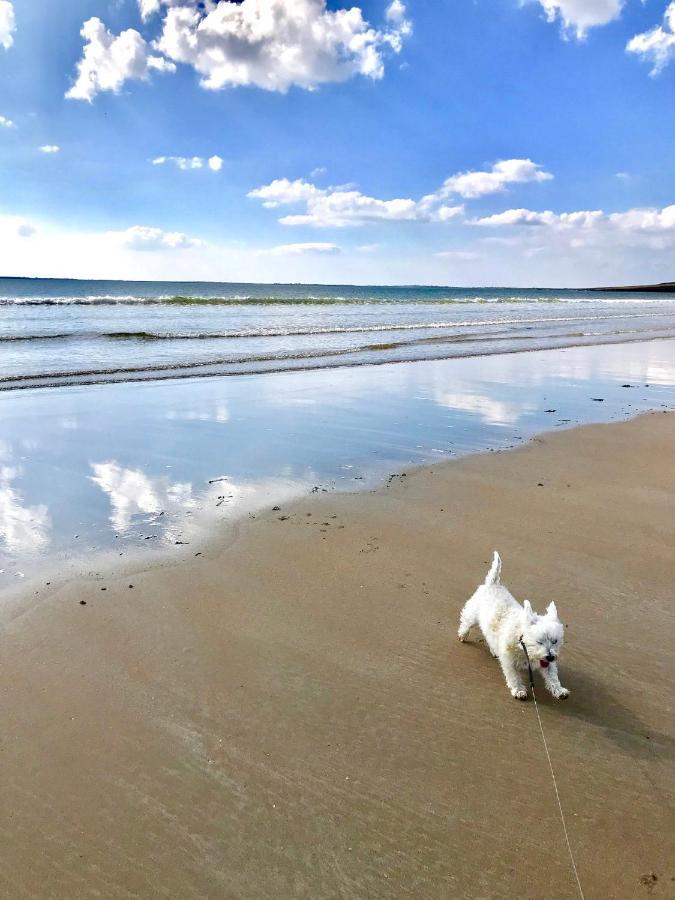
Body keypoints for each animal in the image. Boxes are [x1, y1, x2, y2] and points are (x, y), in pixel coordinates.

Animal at [460, 552, 572, 700]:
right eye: (539, 641)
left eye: (555, 641)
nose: (550, 657)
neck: (521, 641)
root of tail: (493, 583)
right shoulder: (509, 660)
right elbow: (513, 676)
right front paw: (518, 690)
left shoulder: (547, 663)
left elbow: (552, 676)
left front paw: (559, 690)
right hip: (472, 614)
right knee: (466, 622)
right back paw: (463, 635)